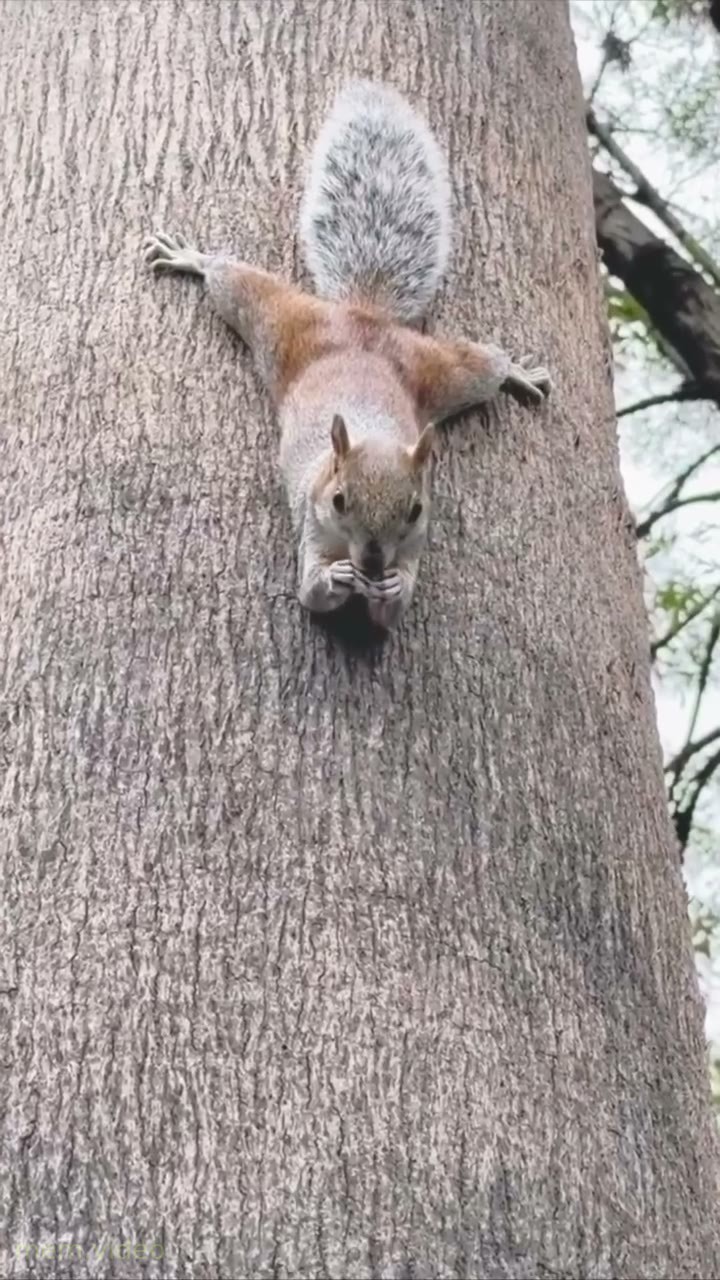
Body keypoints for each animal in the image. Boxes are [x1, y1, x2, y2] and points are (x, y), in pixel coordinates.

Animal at [144, 80, 551, 630]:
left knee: (487, 364)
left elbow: (391, 613)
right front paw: (332, 579)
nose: (373, 563)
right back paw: (193, 258)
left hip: (444, 370)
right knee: (234, 278)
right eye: (339, 500)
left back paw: (518, 373)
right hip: (278, 316)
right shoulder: (311, 523)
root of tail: (364, 321)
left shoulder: (417, 544)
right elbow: (309, 596)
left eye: (415, 510)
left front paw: (393, 588)